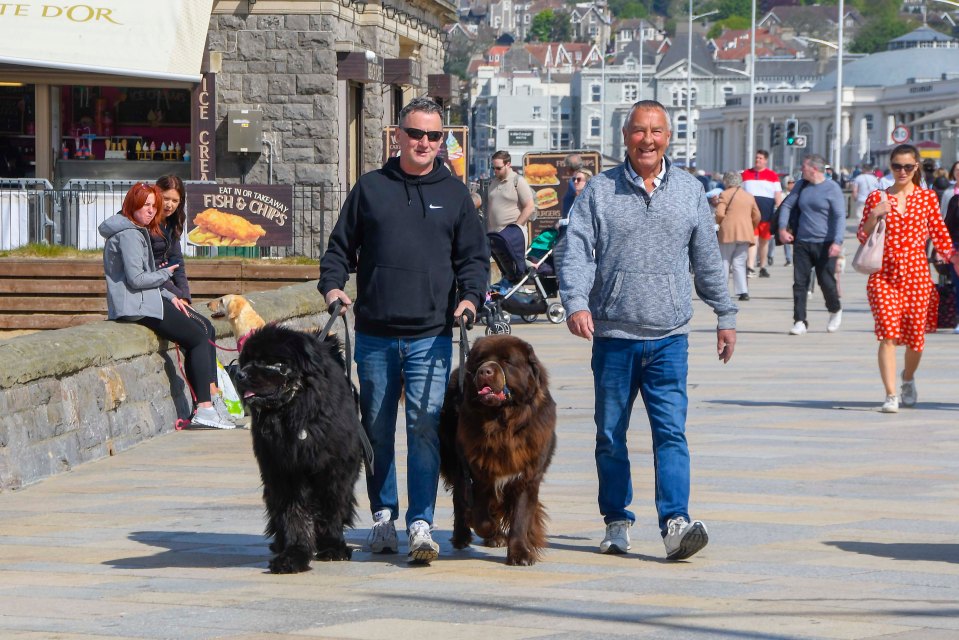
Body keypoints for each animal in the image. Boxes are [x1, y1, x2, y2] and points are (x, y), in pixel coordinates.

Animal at [234, 324, 366, 576]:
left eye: (267, 361)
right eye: (246, 361)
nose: (239, 375)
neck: (296, 415)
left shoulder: (335, 470)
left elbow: (332, 507)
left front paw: (333, 546)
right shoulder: (284, 471)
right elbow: (293, 514)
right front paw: (293, 555)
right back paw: (280, 543)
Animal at [438, 336, 560, 564]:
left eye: (507, 361)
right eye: (480, 360)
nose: (484, 371)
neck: (502, 424)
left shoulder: (527, 475)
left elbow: (520, 517)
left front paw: (520, 553)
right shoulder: (477, 474)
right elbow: (480, 516)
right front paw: (491, 529)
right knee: (459, 499)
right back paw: (462, 537)